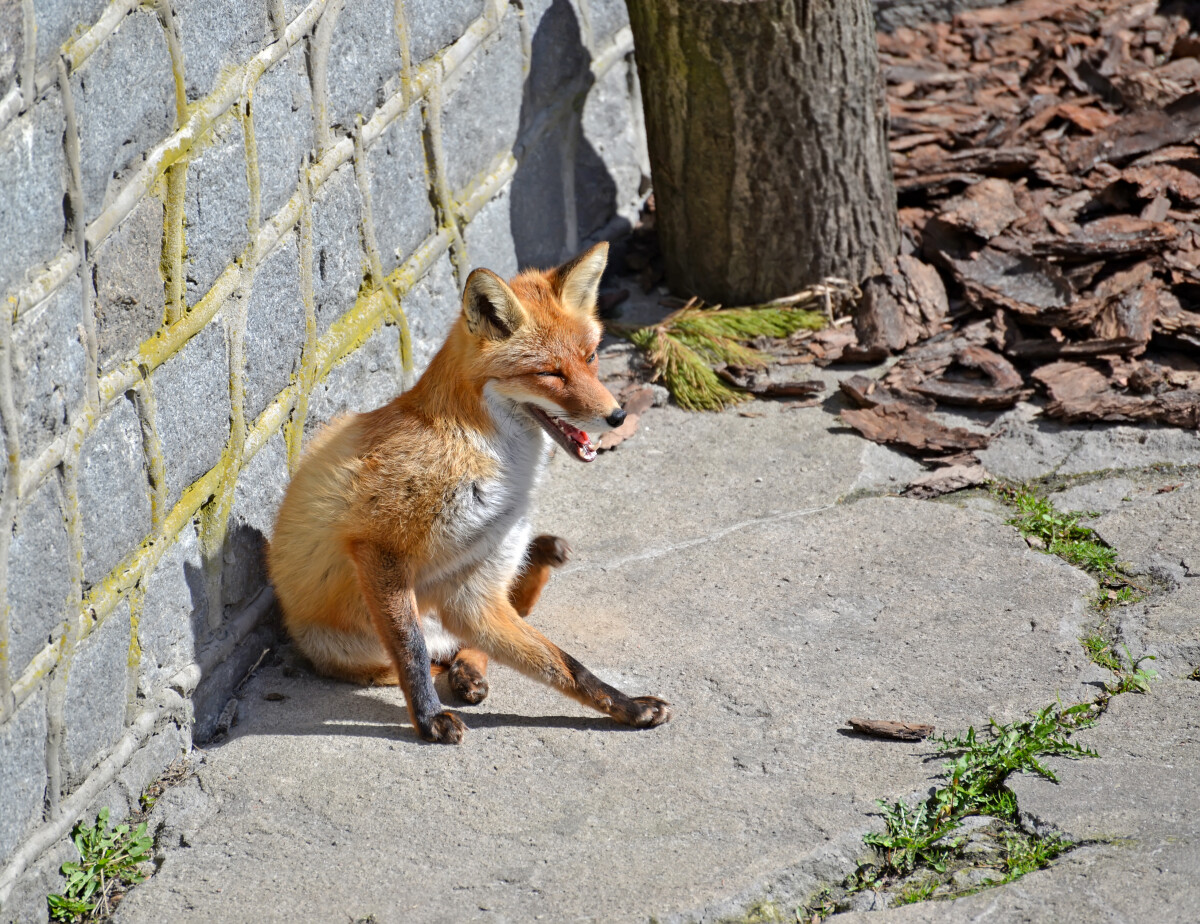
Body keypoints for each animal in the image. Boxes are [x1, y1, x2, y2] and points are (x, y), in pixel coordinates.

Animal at [266, 241, 672, 739]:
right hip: (352, 648)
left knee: (476, 642)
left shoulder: (475, 587)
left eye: (592, 357)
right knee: (425, 658)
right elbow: (411, 651)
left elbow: (570, 667)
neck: (479, 452)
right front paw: (427, 719)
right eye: (551, 373)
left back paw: (470, 671)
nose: (617, 417)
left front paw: (628, 707)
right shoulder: (378, 548)